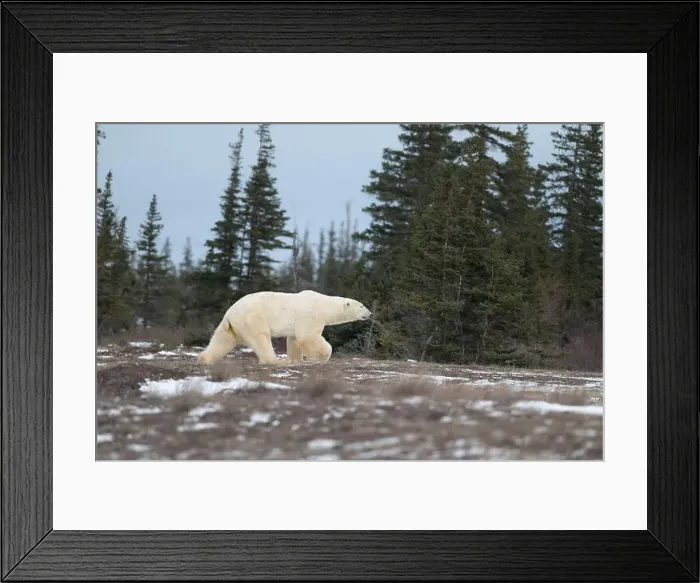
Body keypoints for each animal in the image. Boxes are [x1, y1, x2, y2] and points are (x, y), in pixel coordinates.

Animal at [197, 289, 372, 366]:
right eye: (361, 305)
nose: (370, 313)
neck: (324, 305)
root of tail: (230, 314)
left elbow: (294, 339)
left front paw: (296, 360)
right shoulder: (310, 316)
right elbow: (308, 336)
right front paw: (323, 355)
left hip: (231, 326)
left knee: (222, 340)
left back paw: (204, 358)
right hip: (252, 319)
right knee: (261, 339)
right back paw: (276, 361)